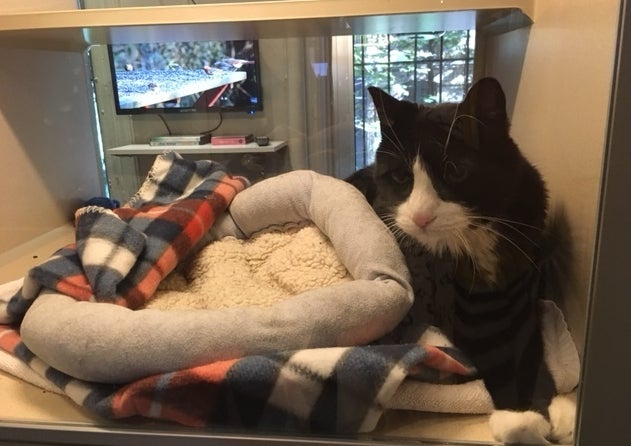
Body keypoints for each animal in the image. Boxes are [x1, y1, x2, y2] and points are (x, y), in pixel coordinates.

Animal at [348, 77, 576, 442]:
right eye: (401, 178)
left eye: (455, 170)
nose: (421, 217)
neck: (474, 239)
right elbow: (490, 348)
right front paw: (519, 415)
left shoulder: (522, 293)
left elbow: (532, 344)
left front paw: (556, 406)